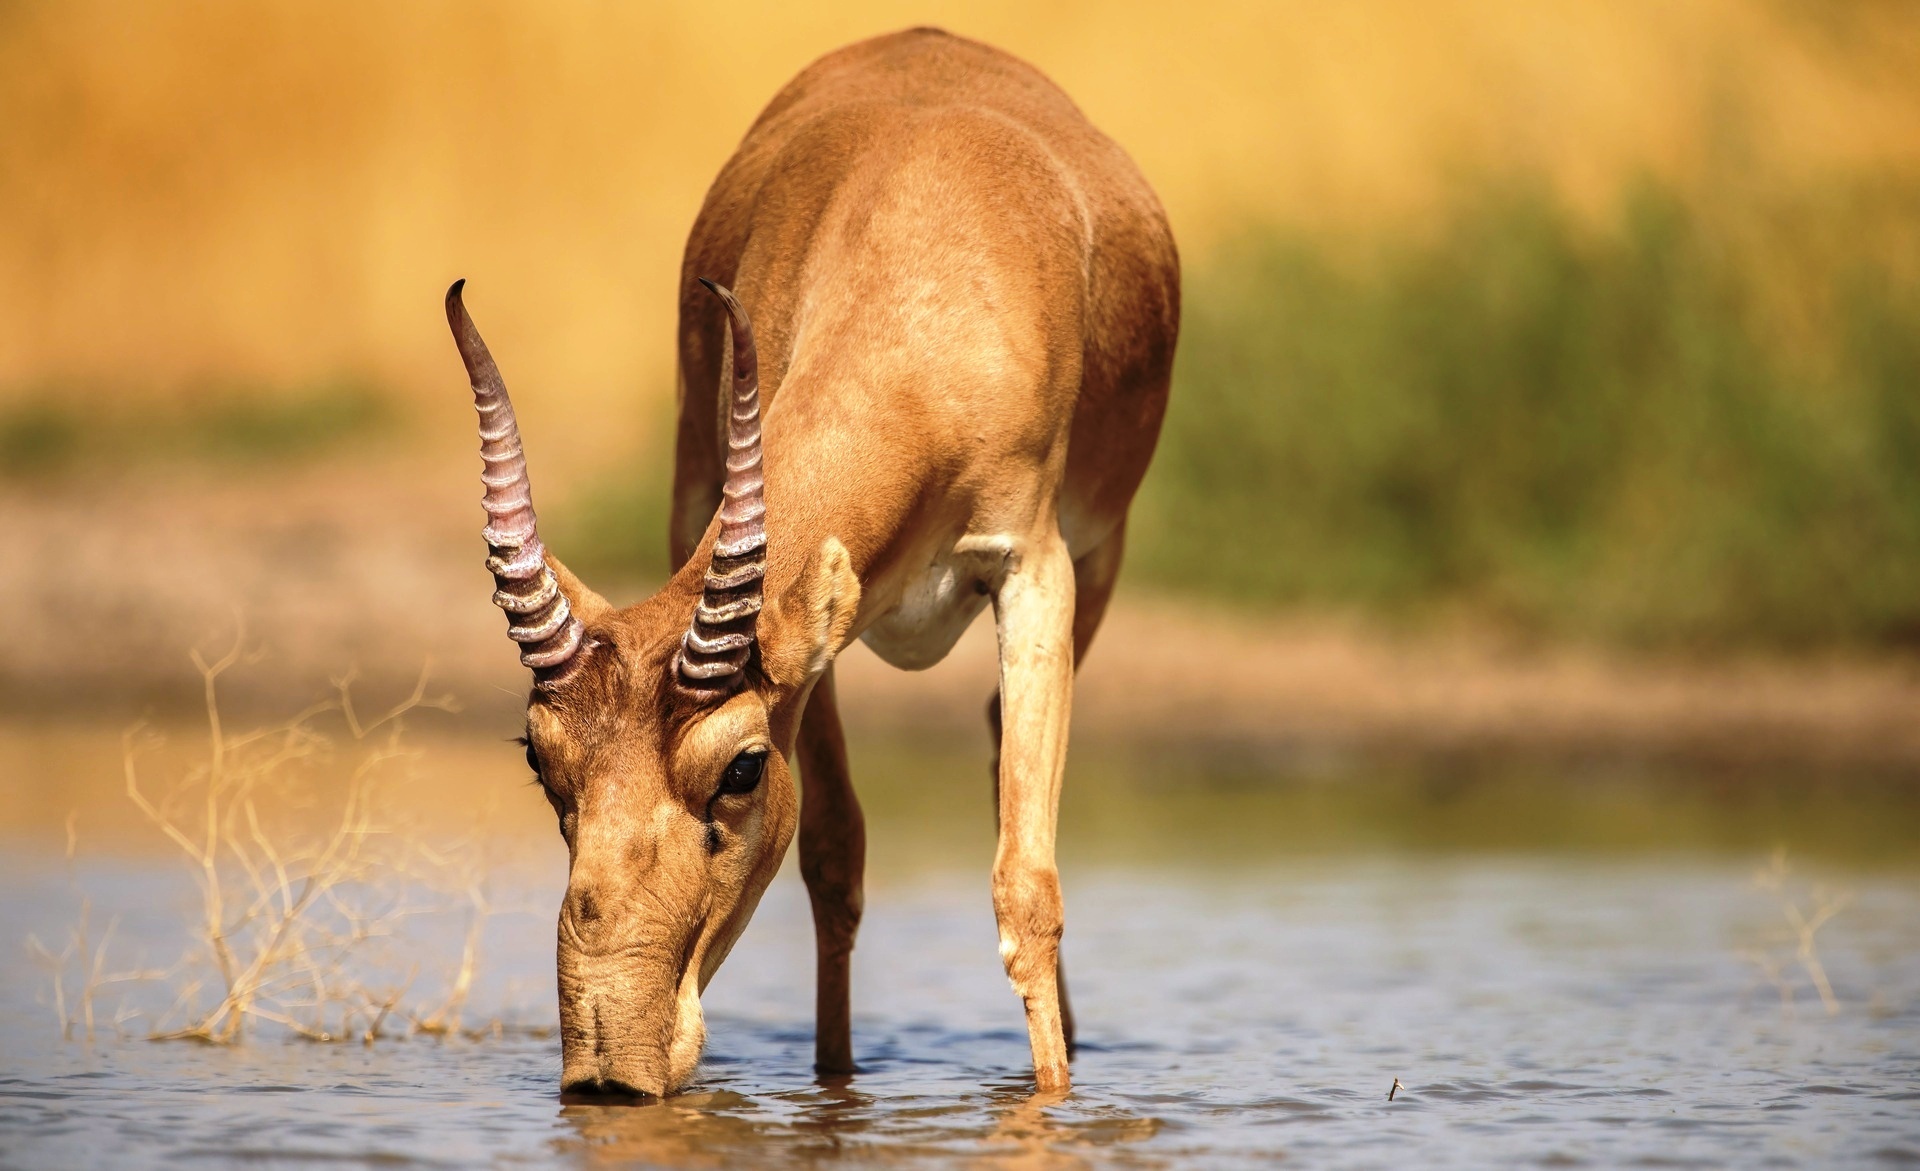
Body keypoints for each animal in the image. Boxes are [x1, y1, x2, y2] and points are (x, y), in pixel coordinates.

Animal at [443, 27, 1175, 1090]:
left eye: (743, 767)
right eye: (542, 760)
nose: (610, 1069)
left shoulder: (1036, 571)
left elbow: (1025, 890)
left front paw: (1052, 1099)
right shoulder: (808, 624)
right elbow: (834, 857)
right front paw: (837, 1087)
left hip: (1100, 567)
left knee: (1002, 748)